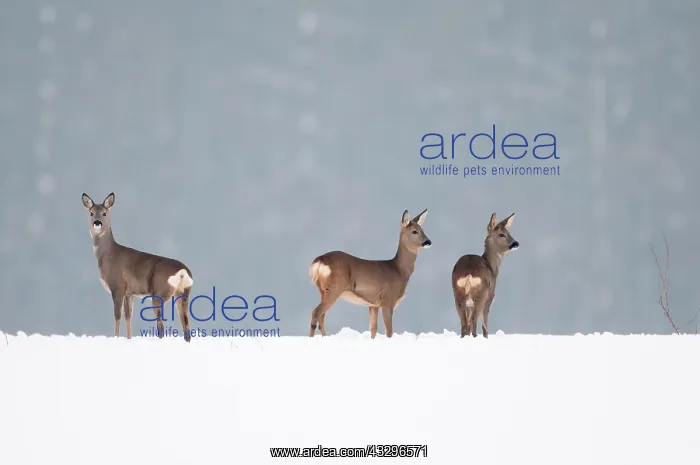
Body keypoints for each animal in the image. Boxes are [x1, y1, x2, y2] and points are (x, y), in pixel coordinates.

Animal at [81, 192, 194, 342]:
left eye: (105, 213)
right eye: (91, 213)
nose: (97, 222)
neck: (109, 255)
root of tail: (182, 272)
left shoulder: (117, 286)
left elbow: (117, 315)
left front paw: (116, 338)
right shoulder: (129, 293)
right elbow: (129, 317)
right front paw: (129, 339)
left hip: (159, 292)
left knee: (161, 326)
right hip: (183, 293)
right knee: (186, 326)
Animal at [308, 209, 431, 339]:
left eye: (423, 230)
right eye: (414, 231)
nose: (428, 242)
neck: (398, 271)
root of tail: (320, 260)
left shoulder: (373, 304)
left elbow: (373, 329)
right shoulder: (387, 300)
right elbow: (389, 332)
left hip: (323, 290)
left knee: (321, 317)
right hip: (335, 288)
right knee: (316, 312)